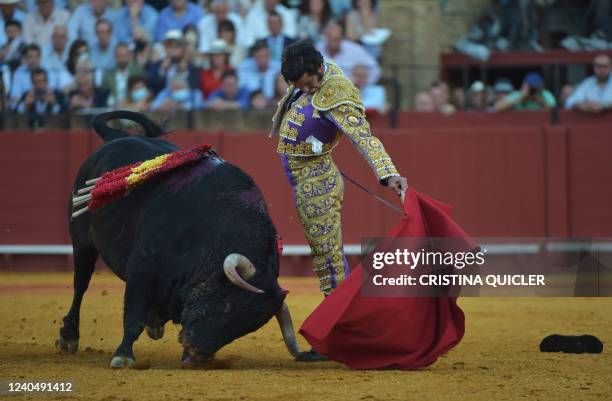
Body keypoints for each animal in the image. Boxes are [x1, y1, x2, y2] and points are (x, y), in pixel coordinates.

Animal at [58, 111, 302, 368]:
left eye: (246, 327)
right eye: (229, 305)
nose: (196, 352)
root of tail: (116, 137)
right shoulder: (142, 267)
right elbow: (133, 316)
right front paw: (123, 355)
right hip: (82, 243)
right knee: (80, 284)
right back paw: (69, 337)